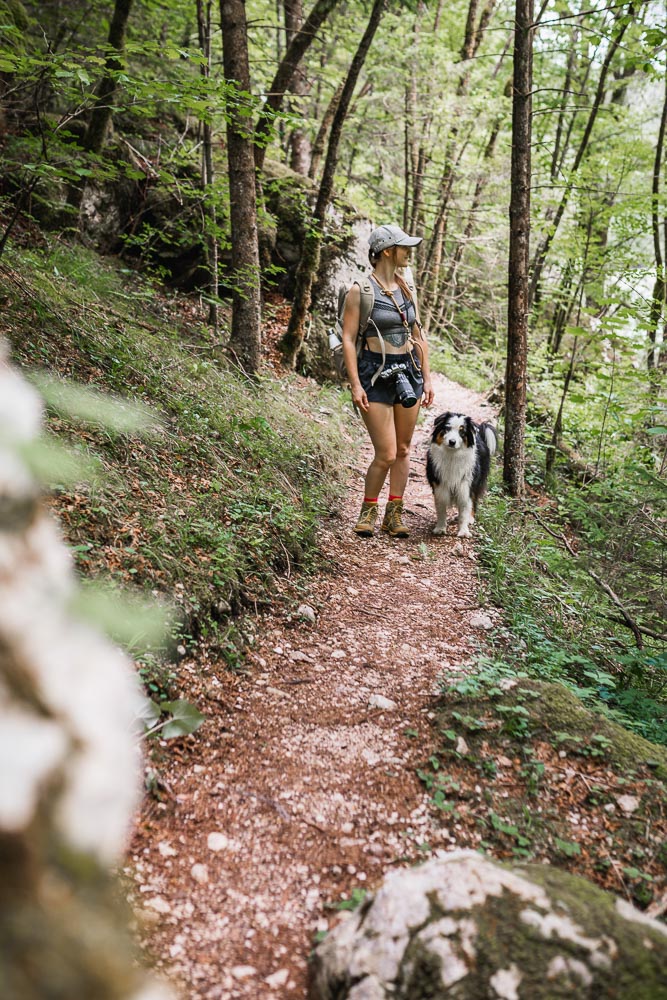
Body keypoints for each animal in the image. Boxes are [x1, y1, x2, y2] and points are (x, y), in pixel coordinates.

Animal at [426, 412, 498, 540]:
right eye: (447, 428)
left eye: (462, 432)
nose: (452, 442)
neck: (452, 455)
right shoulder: (439, 486)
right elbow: (441, 509)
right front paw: (440, 528)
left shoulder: (466, 486)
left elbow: (464, 509)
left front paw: (464, 531)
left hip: (477, 481)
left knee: (474, 501)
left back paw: (471, 518)